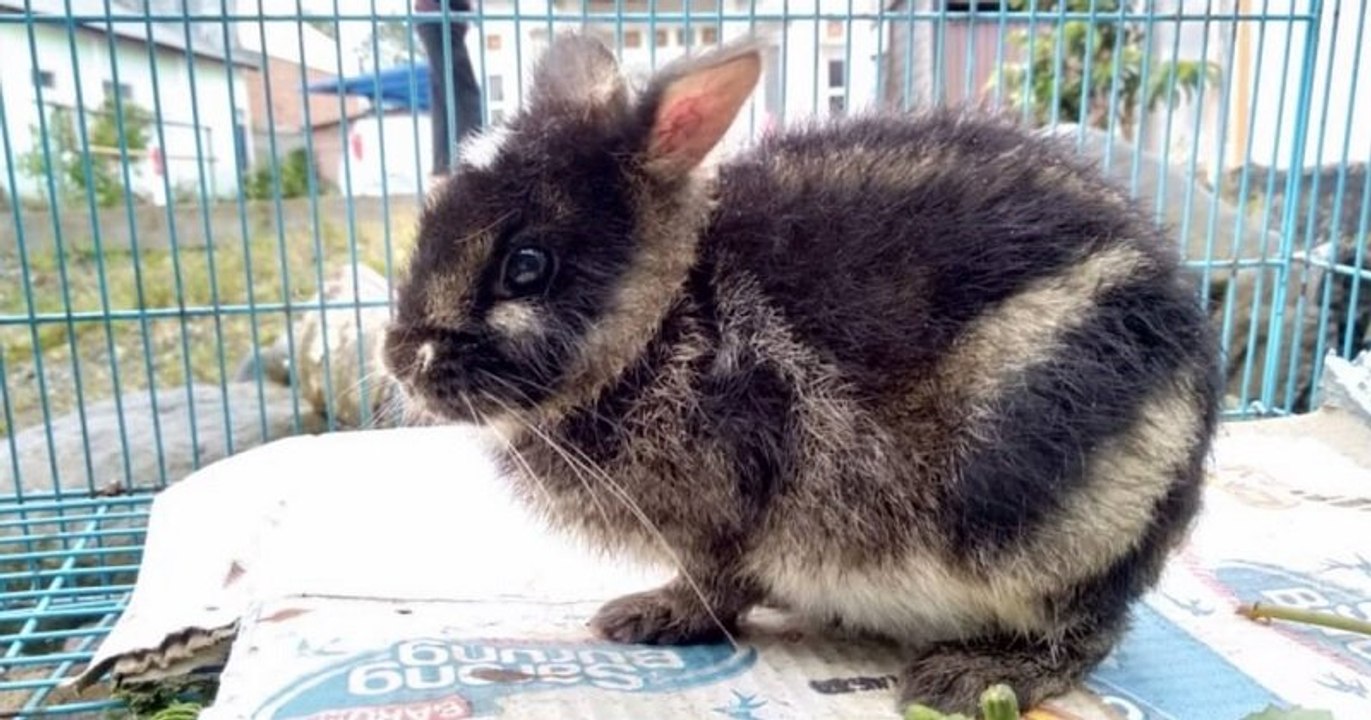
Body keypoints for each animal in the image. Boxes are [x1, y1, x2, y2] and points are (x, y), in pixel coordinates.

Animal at [381, 32, 1223, 715]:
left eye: (526, 267)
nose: (400, 364)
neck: (669, 313)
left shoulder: (731, 512)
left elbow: (716, 584)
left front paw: (650, 616)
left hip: (1023, 504)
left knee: (1088, 629)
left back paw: (976, 677)